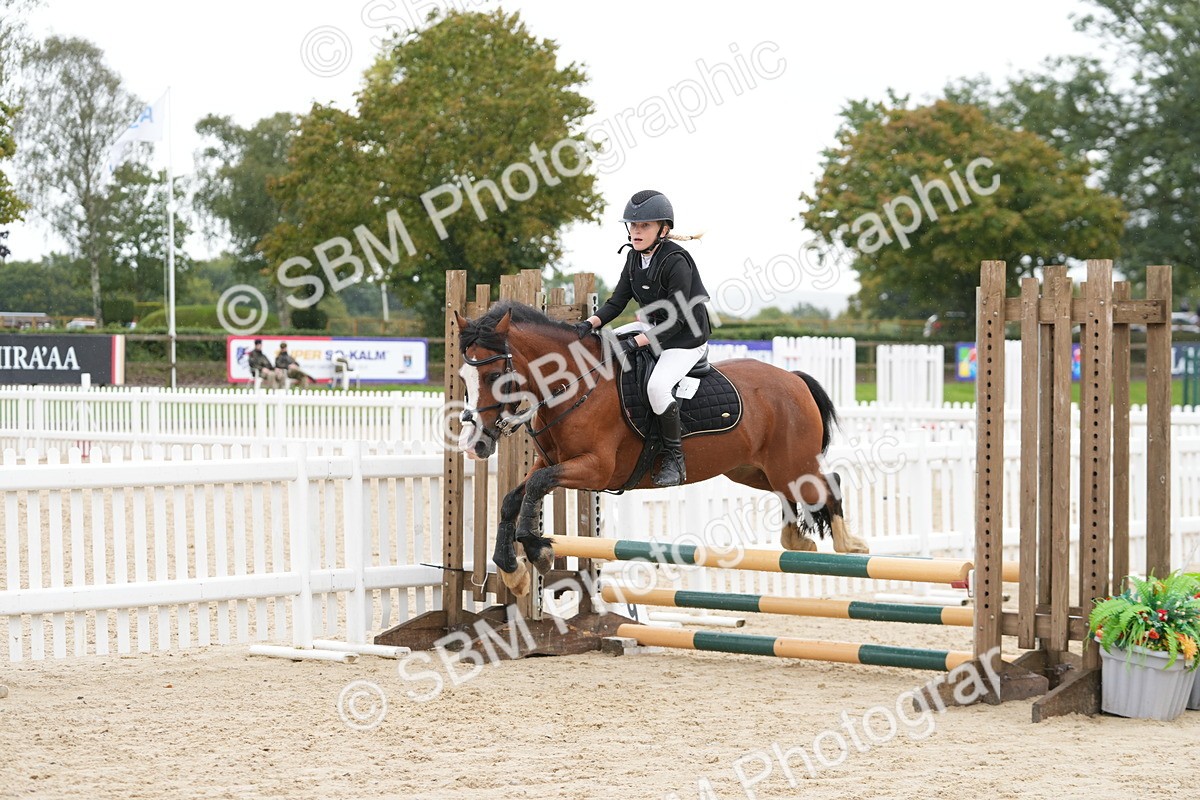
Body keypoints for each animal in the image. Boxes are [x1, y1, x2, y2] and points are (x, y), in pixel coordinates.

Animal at [455, 301, 869, 596]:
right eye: (463, 377)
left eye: (495, 376)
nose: (476, 444)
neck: (576, 385)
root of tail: (793, 379)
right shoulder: (551, 461)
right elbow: (513, 497)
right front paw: (512, 572)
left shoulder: (596, 469)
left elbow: (538, 486)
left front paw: (537, 551)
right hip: (752, 471)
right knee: (794, 493)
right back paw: (798, 539)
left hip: (790, 464)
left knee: (827, 482)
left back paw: (850, 544)